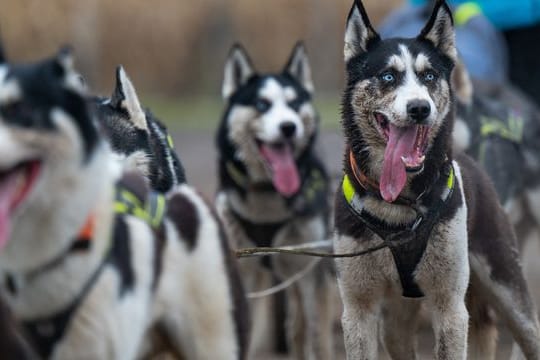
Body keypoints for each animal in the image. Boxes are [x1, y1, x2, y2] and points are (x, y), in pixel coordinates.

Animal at [215, 43, 334, 358]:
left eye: (294, 104)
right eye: (261, 104)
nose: (289, 127)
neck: (268, 196)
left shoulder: (309, 270)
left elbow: (314, 334)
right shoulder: (244, 270)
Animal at [334, 1, 540, 358]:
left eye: (429, 76)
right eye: (388, 76)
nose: (420, 107)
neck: (397, 207)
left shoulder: (450, 307)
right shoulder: (359, 308)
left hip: (509, 292)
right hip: (396, 326)